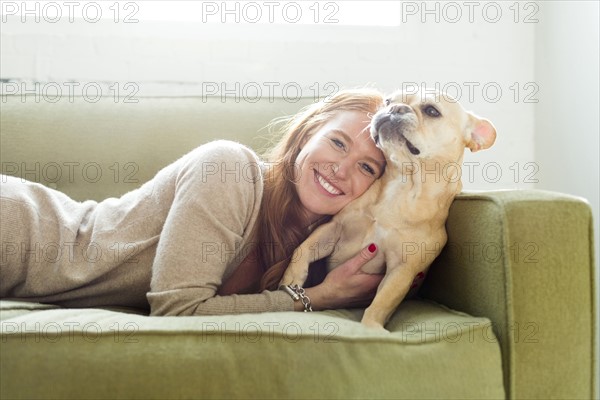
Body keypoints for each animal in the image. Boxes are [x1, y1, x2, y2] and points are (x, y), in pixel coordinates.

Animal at [282, 90, 496, 328]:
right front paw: (291, 279)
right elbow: (303, 247)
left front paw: (369, 327)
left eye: (432, 111)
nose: (395, 108)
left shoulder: (401, 270)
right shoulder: (335, 228)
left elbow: (382, 301)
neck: (403, 183)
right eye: (387, 102)